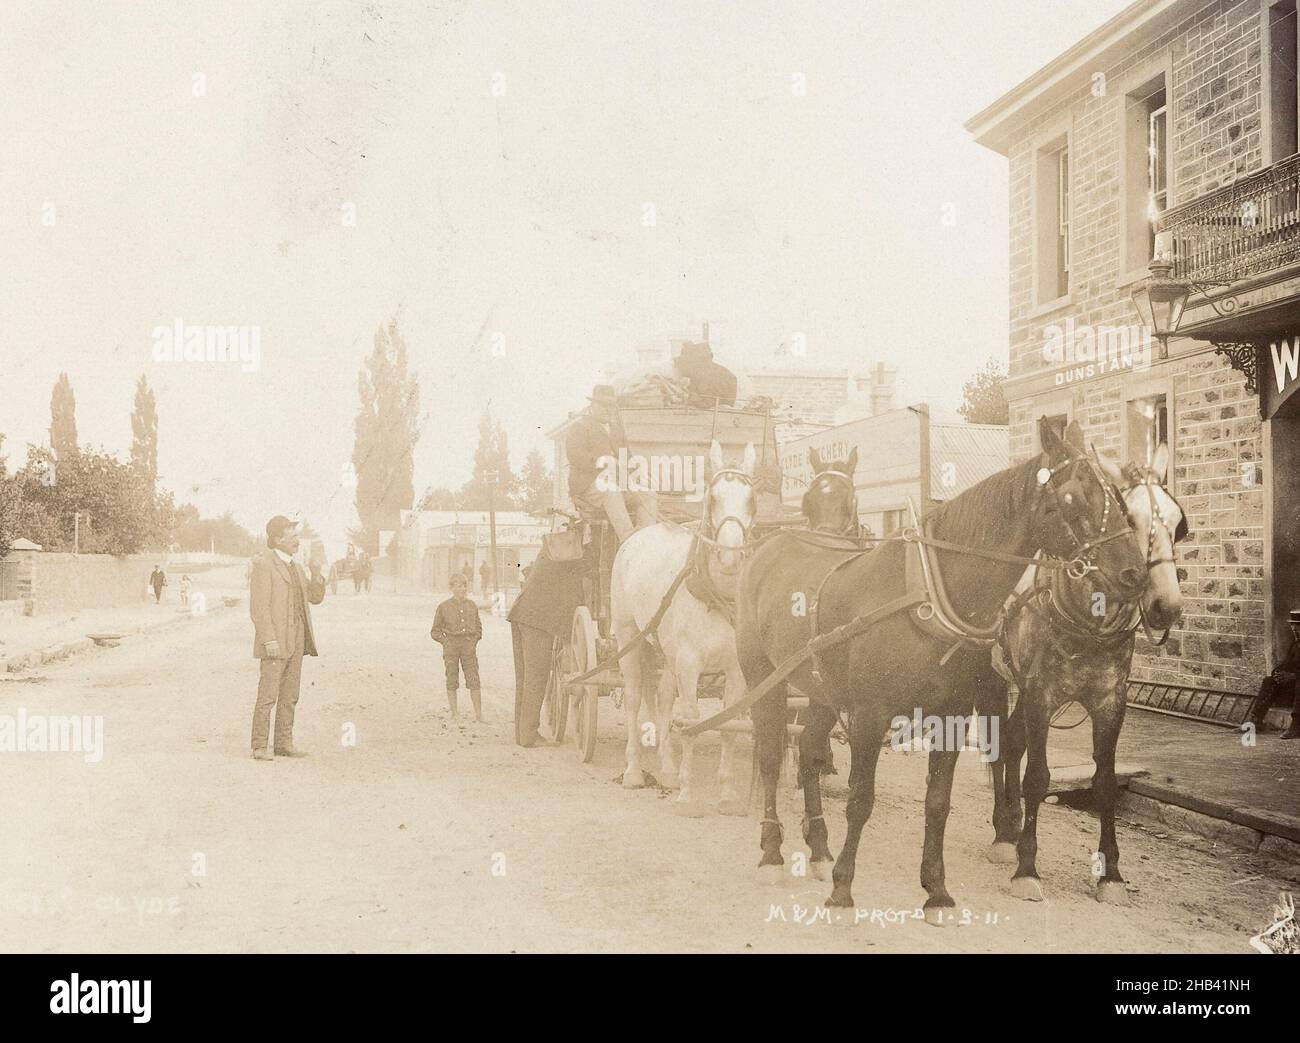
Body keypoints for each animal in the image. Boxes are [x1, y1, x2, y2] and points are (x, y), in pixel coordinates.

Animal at [611, 439, 759, 811]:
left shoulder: (735, 668)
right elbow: (691, 721)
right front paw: (689, 793)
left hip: (665, 650)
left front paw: (725, 792)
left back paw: (666, 769)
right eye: (713, 498)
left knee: (663, 700)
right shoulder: (690, 663)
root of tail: (639, 532)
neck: (718, 597)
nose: (730, 555)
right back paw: (633, 770)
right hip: (628, 636)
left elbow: (727, 725)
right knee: (634, 699)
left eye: (751, 499)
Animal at [738, 418, 1154, 915]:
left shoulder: (952, 715)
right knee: (768, 758)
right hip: (764, 678)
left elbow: (938, 802)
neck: (926, 599)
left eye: (1117, 495)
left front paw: (936, 891)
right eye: (1073, 497)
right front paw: (842, 890)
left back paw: (818, 849)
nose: (1135, 573)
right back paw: (770, 854)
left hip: (821, 689)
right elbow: (860, 800)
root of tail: (771, 545)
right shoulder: (869, 715)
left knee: (806, 753)